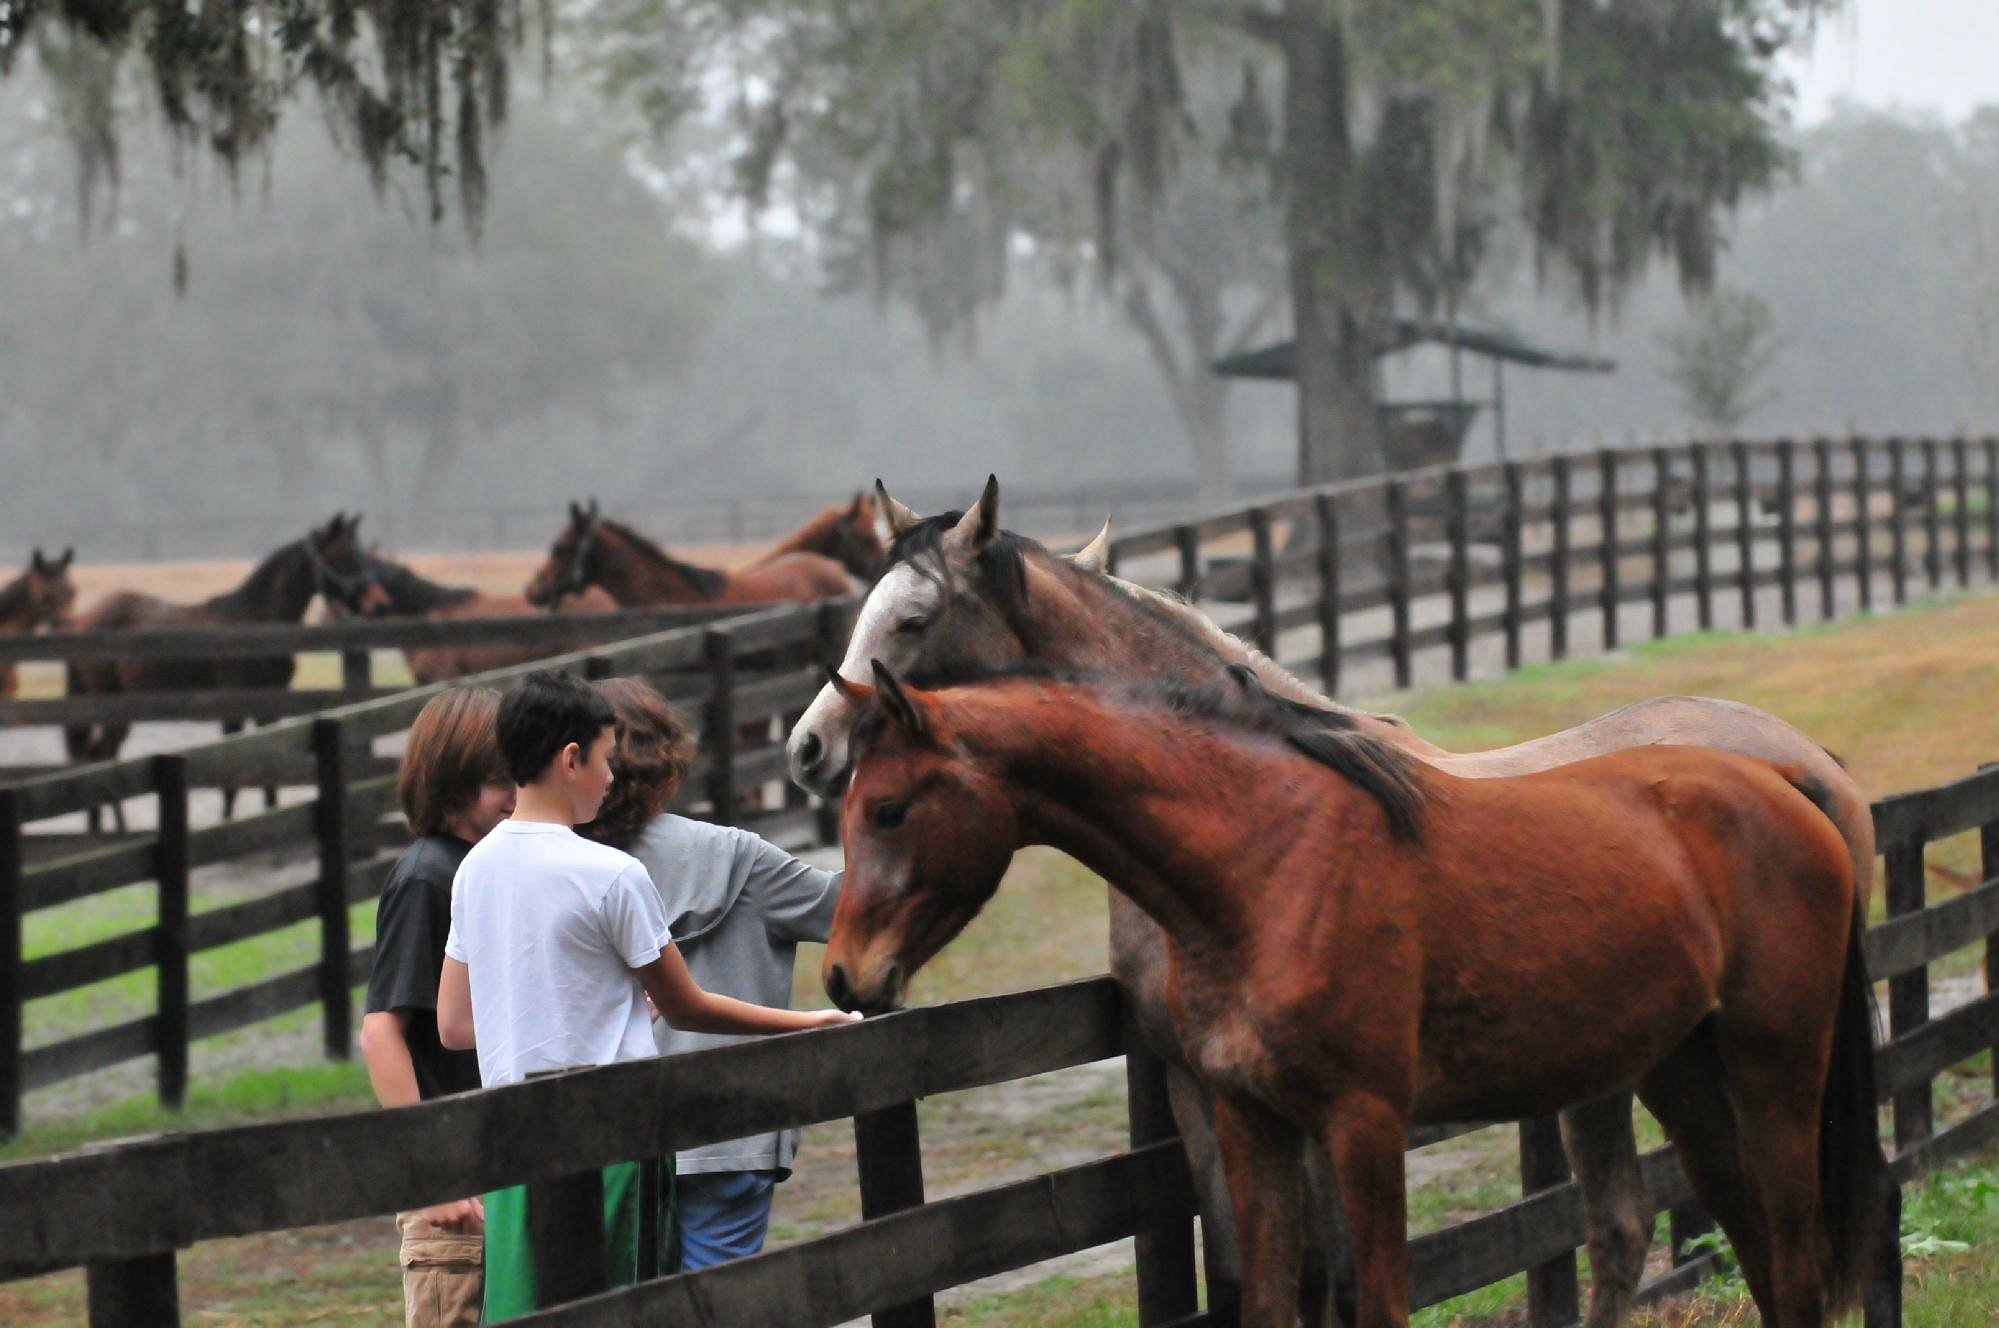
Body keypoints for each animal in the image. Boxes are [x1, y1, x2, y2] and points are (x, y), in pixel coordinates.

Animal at [64, 514, 374, 820]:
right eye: (344, 554)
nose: (373, 600)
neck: (257, 622)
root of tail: (83, 621)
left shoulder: (268, 706)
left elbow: (271, 772)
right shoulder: (233, 708)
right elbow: (230, 776)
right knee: (101, 759)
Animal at [785, 477, 1881, 1328]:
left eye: (910, 619)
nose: (806, 749)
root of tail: (1804, 768)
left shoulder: (1343, 1113)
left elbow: (1342, 1281)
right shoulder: (1207, 1091)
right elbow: (1253, 1276)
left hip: (1752, 1060)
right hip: (1658, 1063)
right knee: (1660, 1226)